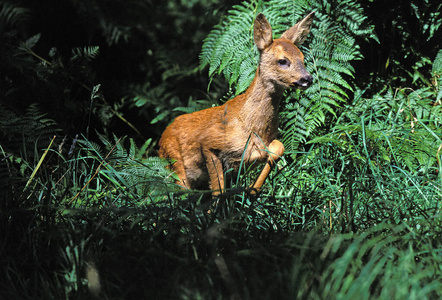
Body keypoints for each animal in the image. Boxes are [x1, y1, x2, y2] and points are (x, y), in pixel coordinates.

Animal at [159, 12, 314, 195]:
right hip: (174, 166)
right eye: (283, 61)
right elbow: (219, 190)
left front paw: (253, 190)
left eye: (302, 59)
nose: (307, 78)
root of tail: (161, 139)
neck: (252, 126)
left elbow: (278, 147)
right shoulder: (209, 141)